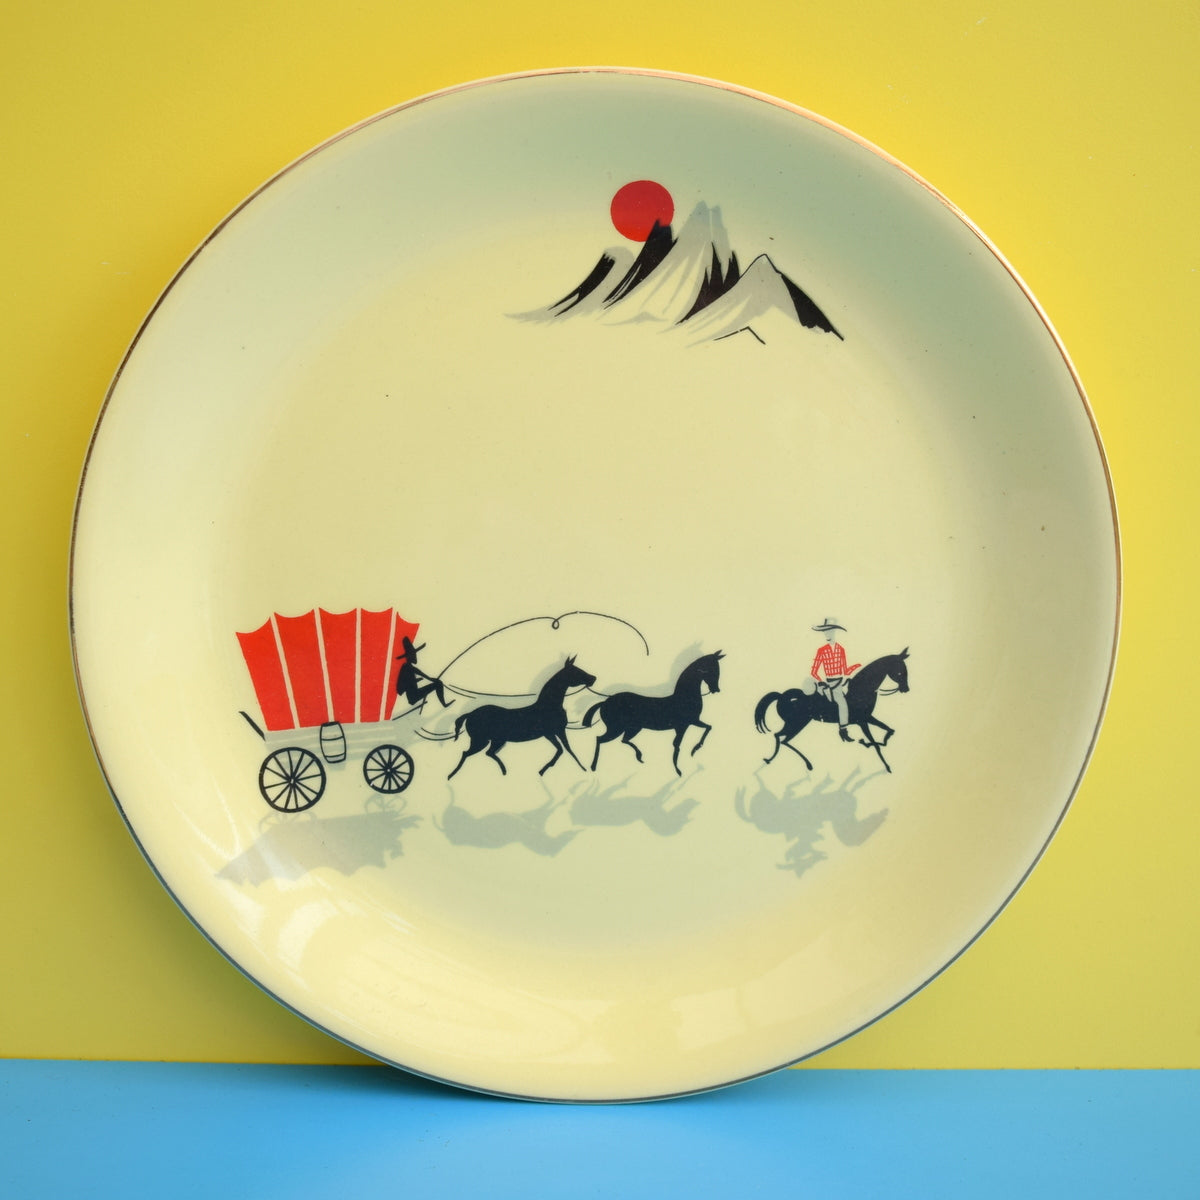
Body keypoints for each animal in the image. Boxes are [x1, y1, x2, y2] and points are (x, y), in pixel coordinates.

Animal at [446, 656, 596, 779]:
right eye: (576, 671)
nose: (593, 679)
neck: (549, 705)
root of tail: (470, 714)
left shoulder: (556, 732)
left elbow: (566, 749)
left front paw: (582, 768)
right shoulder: (551, 732)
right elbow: (563, 750)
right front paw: (544, 770)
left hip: (496, 740)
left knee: (488, 753)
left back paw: (504, 771)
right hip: (480, 741)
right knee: (466, 753)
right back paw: (452, 775)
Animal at [584, 651, 723, 775]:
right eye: (710, 670)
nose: (716, 689)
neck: (685, 697)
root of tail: (605, 702)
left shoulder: (690, 723)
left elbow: (707, 728)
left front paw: (693, 751)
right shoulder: (684, 725)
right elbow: (678, 744)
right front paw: (680, 768)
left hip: (633, 728)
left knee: (623, 740)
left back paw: (639, 756)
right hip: (616, 728)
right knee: (600, 739)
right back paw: (593, 766)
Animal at [754, 650, 909, 773]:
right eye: (900, 672)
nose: (905, 689)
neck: (861, 690)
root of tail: (781, 696)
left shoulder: (868, 718)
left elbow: (889, 730)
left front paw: (873, 742)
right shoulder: (862, 721)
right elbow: (876, 745)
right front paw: (886, 765)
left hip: (797, 723)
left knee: (780, 738)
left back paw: (771, 760)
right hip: (797, 723)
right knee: (781, 738)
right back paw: (805, 764)